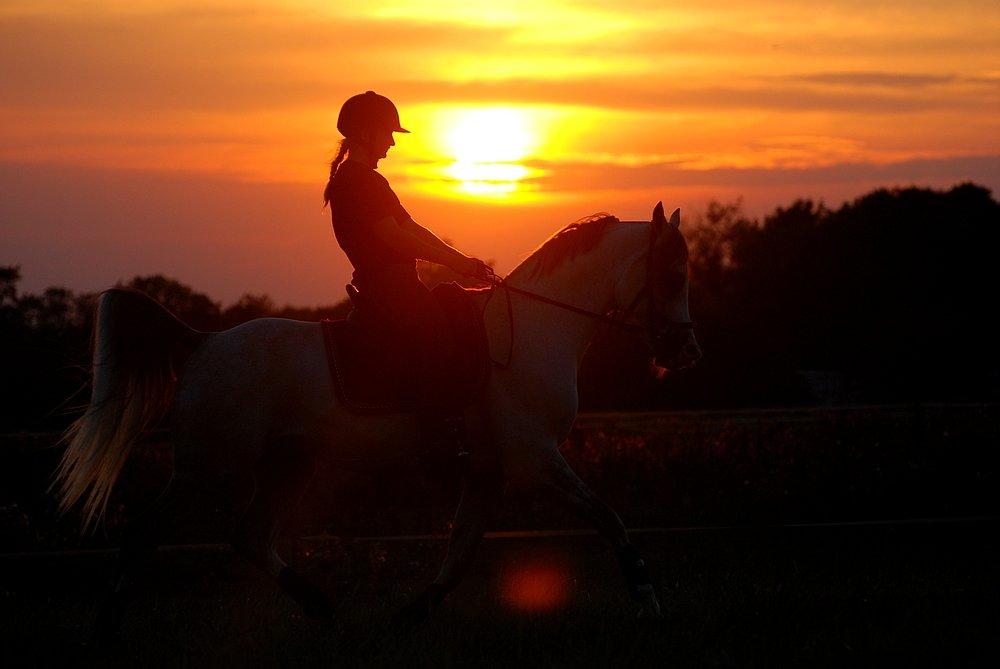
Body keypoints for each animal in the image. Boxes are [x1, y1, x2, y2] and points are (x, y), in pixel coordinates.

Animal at [50, 200, 700, 636]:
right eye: (673, 275)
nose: (685, 353)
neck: (539, 330)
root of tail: (203, 343)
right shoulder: (533, 457)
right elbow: (607, 516)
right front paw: (647, 600)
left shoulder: (489, 470)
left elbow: (459, 552)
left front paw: (408, 617)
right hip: (208, 466)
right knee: (145, 529)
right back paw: (108, 622)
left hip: (289, 464)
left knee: (250, 534)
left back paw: (321, 607)